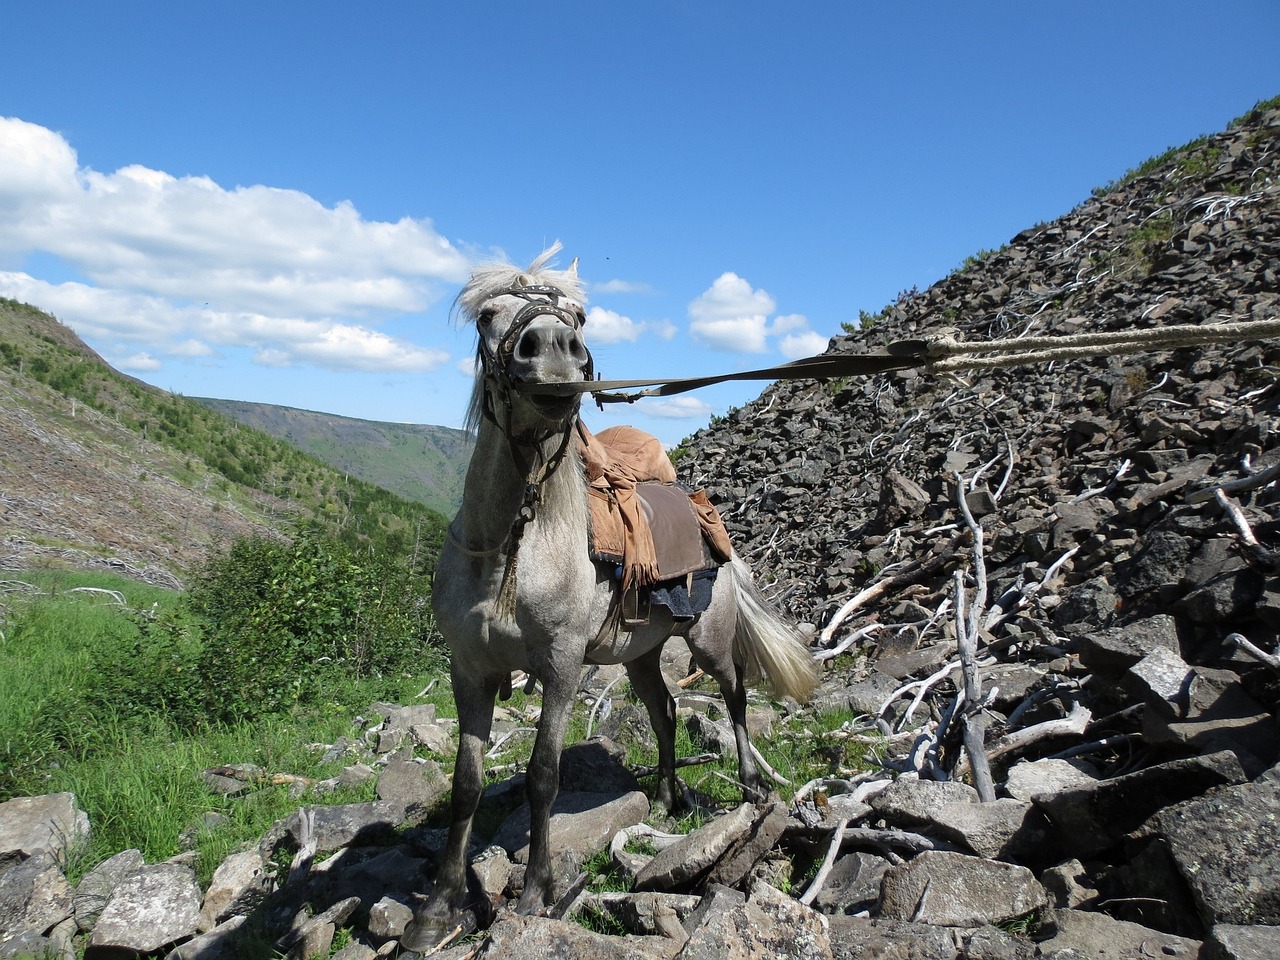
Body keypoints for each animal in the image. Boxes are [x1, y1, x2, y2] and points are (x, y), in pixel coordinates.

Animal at [404, 241, 814, 947]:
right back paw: (671, 798)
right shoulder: (469, 670)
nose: (552, 349)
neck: (513, 549)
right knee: (666, 711)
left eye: (580, 317)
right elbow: (466, 784)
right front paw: (438, 907)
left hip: (708, 644)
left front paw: (536, 893)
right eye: (487, 314)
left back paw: (750, 788)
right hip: (642, 655)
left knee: (734, 696)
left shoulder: (562, 668)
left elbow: (543, 777)